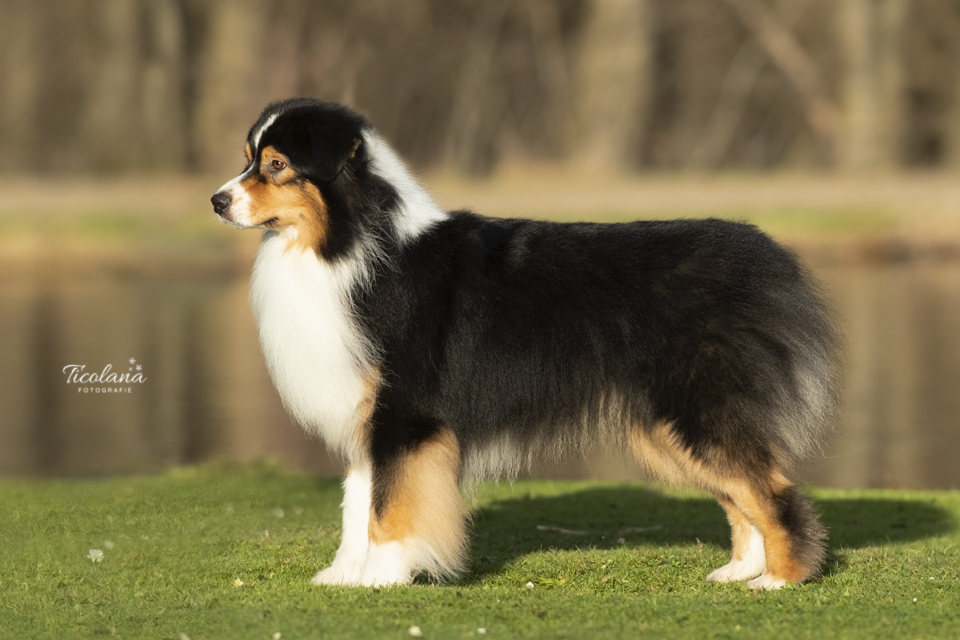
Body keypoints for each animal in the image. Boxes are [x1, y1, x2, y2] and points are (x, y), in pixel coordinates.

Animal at [208, 99, 840, 592]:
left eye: (277, 165)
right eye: (249, 158)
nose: (216, 200)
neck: (349, 246)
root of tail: (766, 257)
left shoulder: (405, 415)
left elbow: (390, 506)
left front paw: (384, 577)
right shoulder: (368, 414)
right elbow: (358, 501)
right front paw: (345, 575)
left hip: (694, 409)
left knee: (773, 491)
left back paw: (781, 579)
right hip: (671, 425)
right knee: (742, 493)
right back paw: (741, 571)